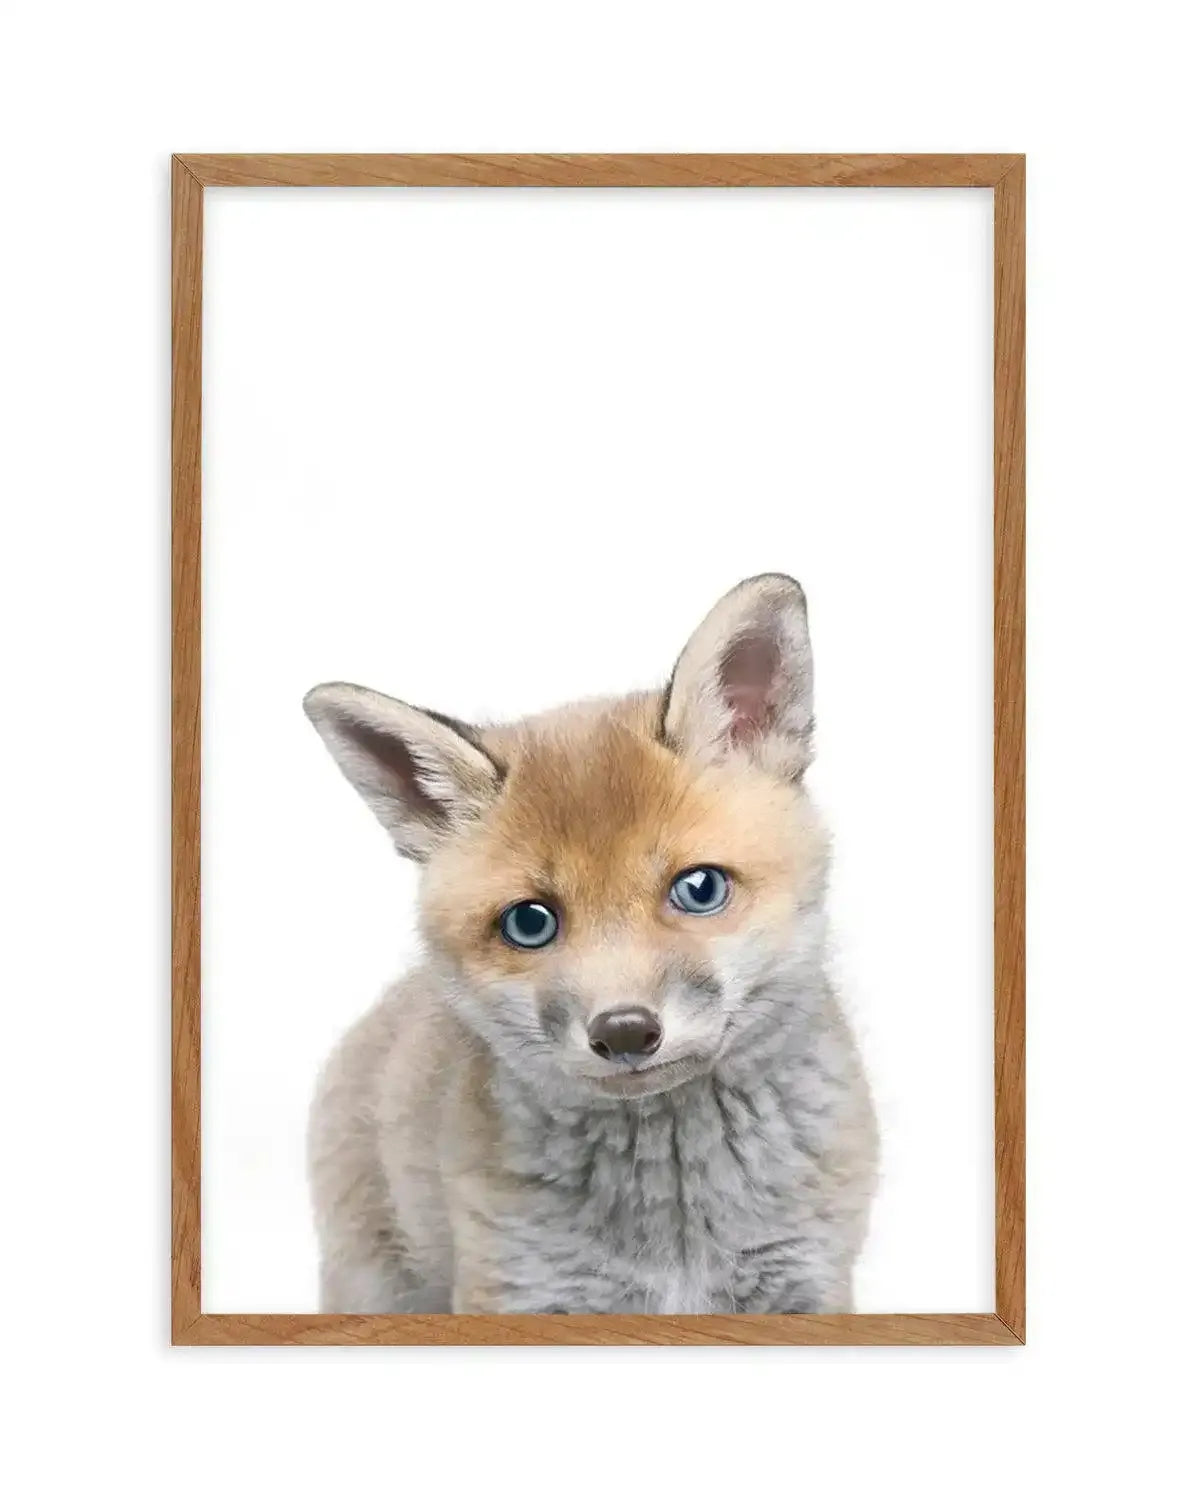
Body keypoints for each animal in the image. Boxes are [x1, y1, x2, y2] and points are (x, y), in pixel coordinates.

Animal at [303, 573, 878, 1315]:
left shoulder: (806, 1279)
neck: (676, 1226)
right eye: (530, 923)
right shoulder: (520, 1289)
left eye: (699, 888)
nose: (625, 1031)